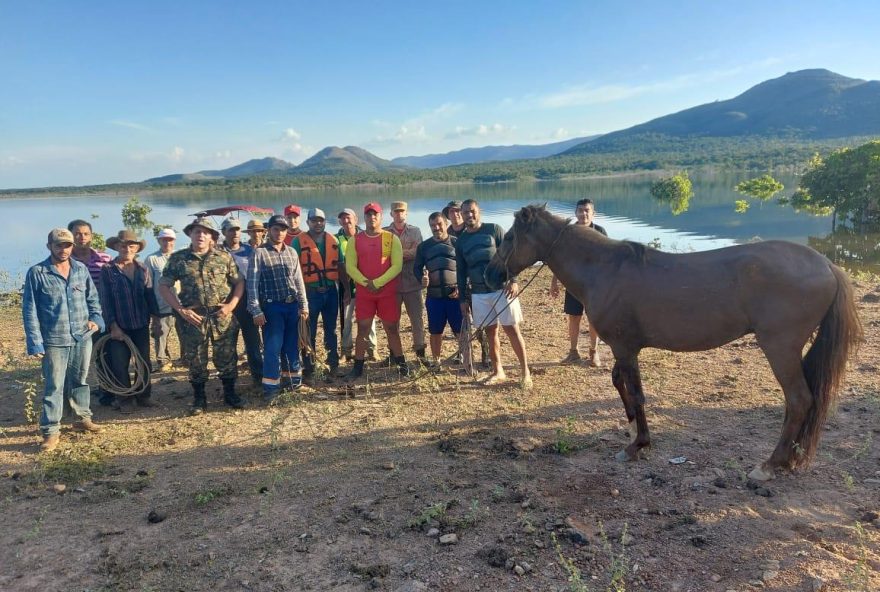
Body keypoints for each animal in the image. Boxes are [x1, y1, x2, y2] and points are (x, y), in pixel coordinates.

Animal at [484, 204, 864, 480]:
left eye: (510, 236)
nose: (490, 273)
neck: (605, 269)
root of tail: (827, 265)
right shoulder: (624, 349)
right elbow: (619, 383)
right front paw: (631, 428)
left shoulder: (625, 348)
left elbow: (636, 393)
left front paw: (638, 445)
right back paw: (787, 460)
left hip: (781, 347)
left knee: (799, 401)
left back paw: (770, 465)